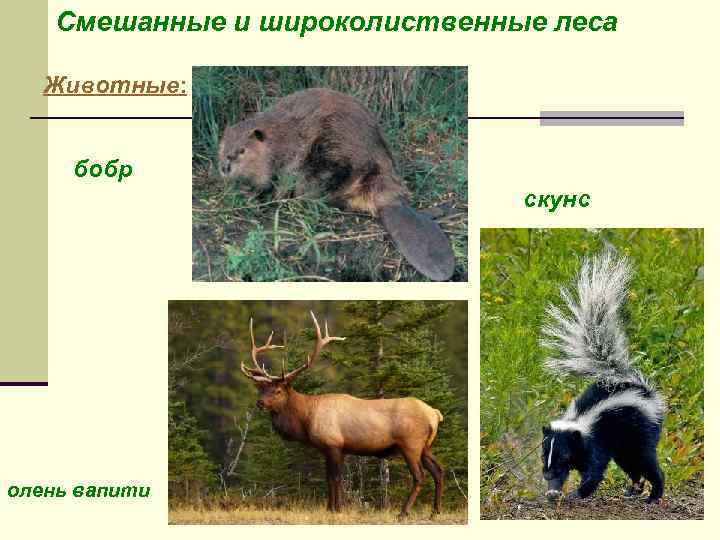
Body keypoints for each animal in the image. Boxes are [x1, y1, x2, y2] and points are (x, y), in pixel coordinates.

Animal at [239, 311, 445, 518]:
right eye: (262, 389)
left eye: (278, 390)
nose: (260, 402)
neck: (306, 419)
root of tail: (435, 414)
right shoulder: (329, 448)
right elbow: (329, 478)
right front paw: (331, 507)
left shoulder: (334, 444)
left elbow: (335, 478)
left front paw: (336, 509)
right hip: (425, 446)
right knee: (439, 470)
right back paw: (435, 511)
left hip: (410, 444)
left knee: (420, 476)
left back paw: (404, 512)